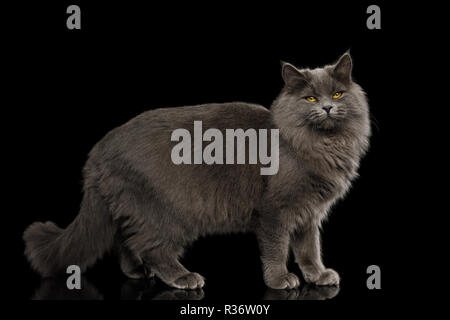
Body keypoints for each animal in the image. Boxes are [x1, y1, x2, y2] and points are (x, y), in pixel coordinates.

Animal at [22, 53, 370, 290]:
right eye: (310, 97)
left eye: (337, 94)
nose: (327, 107)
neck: (322, 145)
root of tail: (97, 153)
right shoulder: (276, 209)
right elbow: (277, 247)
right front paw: (280, 279)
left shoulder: (309, 213)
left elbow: (309, 248)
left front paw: (318, 275)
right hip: (168, 212)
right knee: (151, 247)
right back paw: (183, 277)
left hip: (132, 207)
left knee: (126, 240)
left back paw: (137, 272)